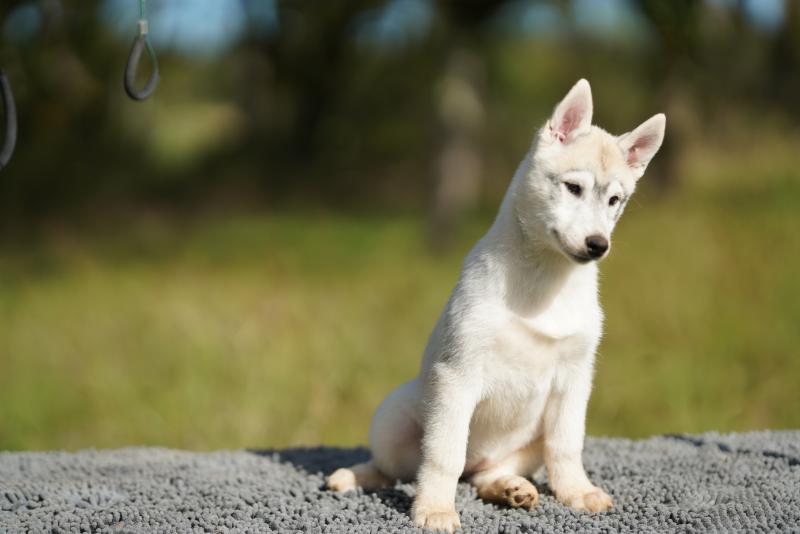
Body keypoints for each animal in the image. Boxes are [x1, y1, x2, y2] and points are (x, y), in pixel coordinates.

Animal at [326, 79, 665, 532]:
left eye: (616, 200)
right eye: (573, 188)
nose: (598, 245)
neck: (544, 280)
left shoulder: (574, 380)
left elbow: (566, 445)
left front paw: (577, 492)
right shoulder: (458, 375)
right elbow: (443, 455)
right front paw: (435, 509)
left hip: (525, 445)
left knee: (485, 474)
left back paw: (509, 488)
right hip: (392, 418)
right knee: (396, 468)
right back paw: (352, 476)